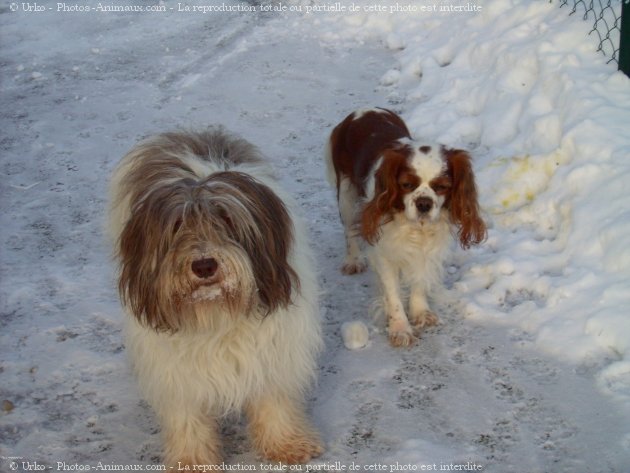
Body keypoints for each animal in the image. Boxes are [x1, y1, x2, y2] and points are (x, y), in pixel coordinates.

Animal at [108, 127, 324, 466]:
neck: (215, 312)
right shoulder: (175, 372)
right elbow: (187, 417)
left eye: (226, 219)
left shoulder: (272, 352)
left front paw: (287, 443)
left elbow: (273, 399)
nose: (204, 265)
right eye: (177, 225)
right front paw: (193, 461)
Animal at [328, 109, 486, 346]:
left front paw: (420, 312)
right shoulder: (383, 253)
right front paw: (400, 328)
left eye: (442, 187)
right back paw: (353, 261)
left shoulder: (426, 249)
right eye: (407, 185)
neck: (416, 229)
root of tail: (361, 111)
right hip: (346, 194)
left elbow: (418, 279)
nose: (424, 203)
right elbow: (392, 293)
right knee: (349, 231)